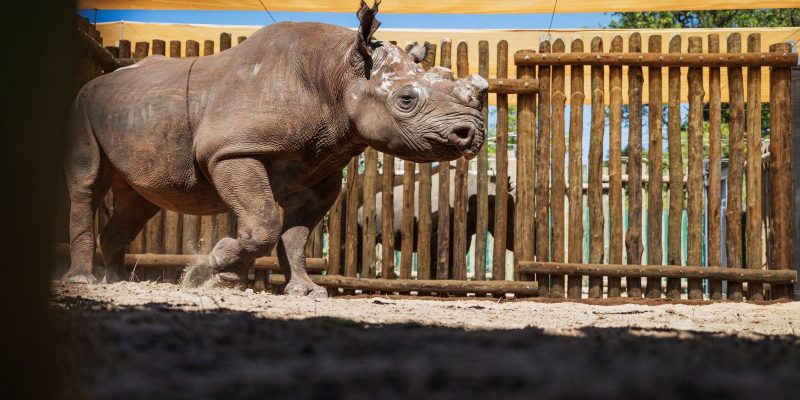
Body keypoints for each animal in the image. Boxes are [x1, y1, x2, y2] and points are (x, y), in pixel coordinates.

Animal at [62, 1, 488, 297]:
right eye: (406, 100)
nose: (473, 133)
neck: (338, 71)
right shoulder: (231, 150)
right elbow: (265, 220)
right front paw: (216, 266)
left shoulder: (320, 172)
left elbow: (295, 235)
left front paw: (303, 291)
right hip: (83, 103)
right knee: (88, 183)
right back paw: (84, 281)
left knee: (139, 201)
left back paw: (115, 281)